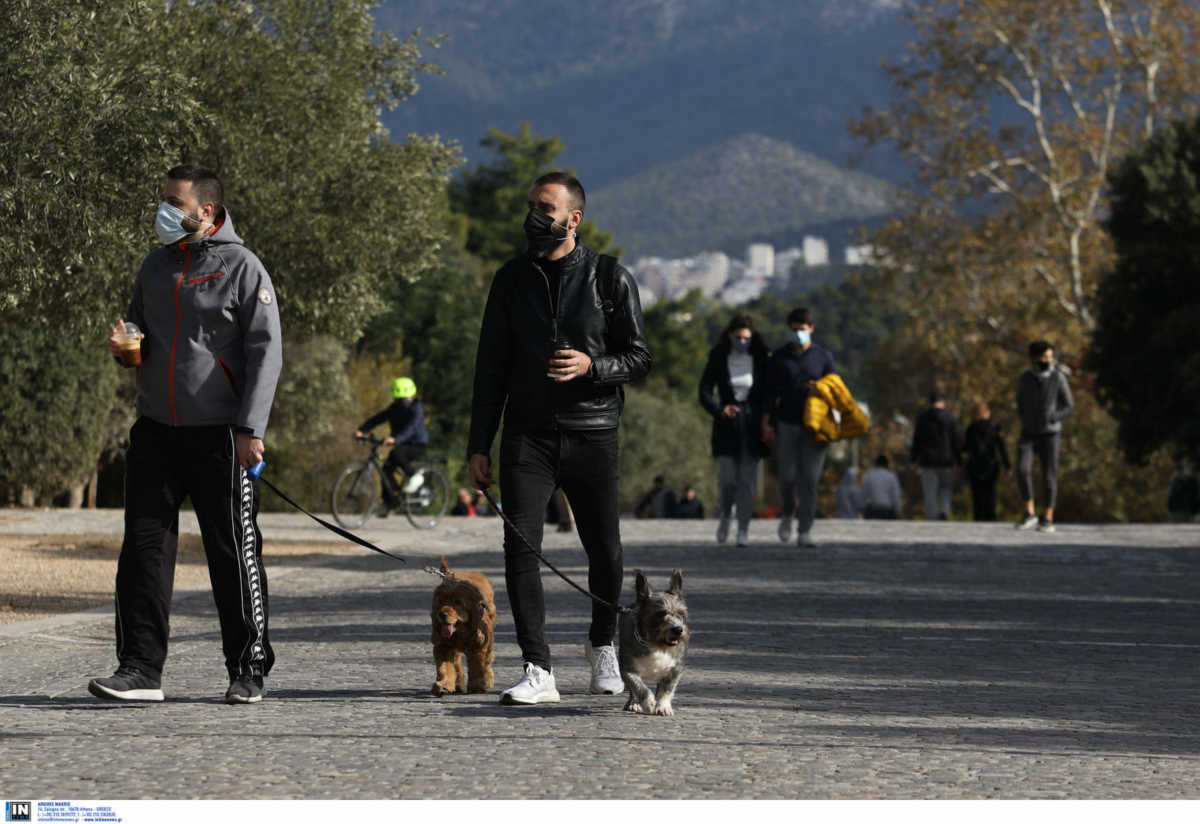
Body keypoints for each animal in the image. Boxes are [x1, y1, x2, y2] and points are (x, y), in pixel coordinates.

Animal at [429, 554, 494, 695]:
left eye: (458, 602)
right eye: (441, 602)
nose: (442, 614)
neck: (460, 632)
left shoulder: (479, 643)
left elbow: (478, 664)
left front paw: (478, 685)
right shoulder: (443, 645)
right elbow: (445, 667)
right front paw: (444, 685)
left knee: (487, 660)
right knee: (457, 662)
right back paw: (458, 684)